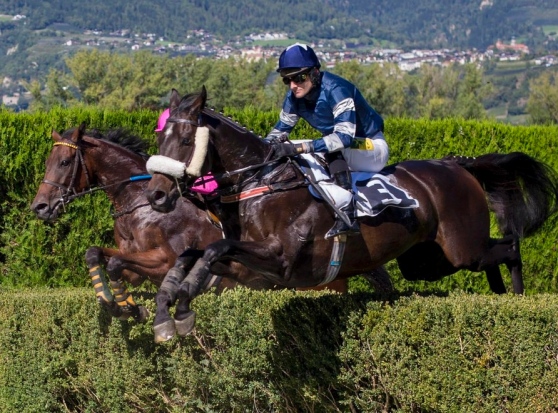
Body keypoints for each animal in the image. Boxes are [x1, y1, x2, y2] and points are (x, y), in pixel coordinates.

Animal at [28, 122, 356, 322]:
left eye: (64, 162)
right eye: (47, 162)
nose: (40, 207)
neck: (140, 204)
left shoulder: (164, 261)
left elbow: (117, 263)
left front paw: (126, 307)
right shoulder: (134, 265)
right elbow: (98, 255)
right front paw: (116, 302)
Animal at [143, 87, 558, 342]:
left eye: (185, 140)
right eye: (160, 138)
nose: (156, 194)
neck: (262, 181)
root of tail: (458, 164)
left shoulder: (281, 261)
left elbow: (213, 250)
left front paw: (182, 307)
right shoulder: (249, 267)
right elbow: (193, 255)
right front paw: (165, 313)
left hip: (461, 247)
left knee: (509, 247)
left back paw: (516, 297)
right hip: (426, 261)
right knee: (491, 255)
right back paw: (498, 298)